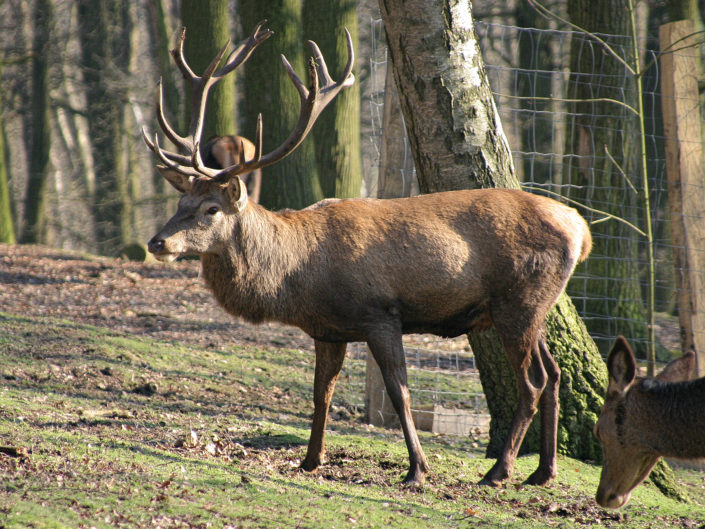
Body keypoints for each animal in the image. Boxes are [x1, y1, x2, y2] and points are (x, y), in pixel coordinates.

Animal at [142, 21, 593, 488]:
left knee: (533, 382)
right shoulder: (327, 329)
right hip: (532, 307)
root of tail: (581, 229)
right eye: (180, 202)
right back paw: (542, 471)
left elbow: (399, 392)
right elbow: (321, 393)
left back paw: (499, 470)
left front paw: (417, 469)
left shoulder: (381, 313)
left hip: (518, 301)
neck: (299, 275)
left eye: (211, 209)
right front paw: (309, 461)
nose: (157, 242)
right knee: (556, 373)